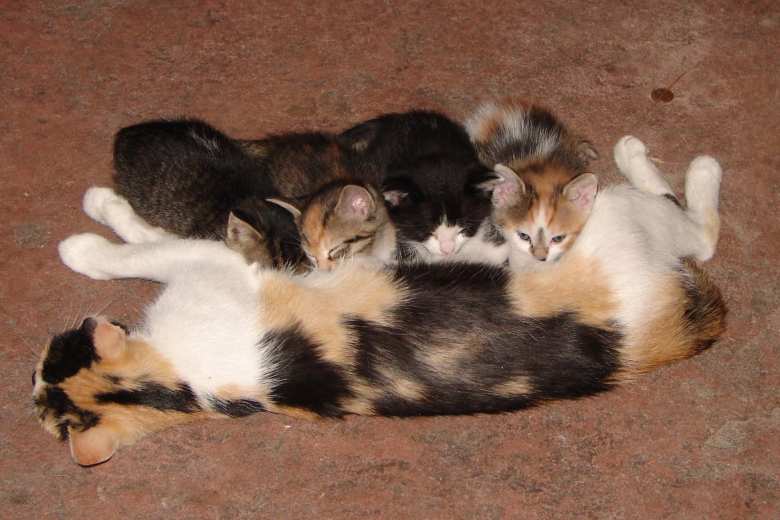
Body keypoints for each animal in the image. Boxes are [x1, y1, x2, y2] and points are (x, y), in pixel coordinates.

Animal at [30, 136, 724, 466]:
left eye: (44, 362)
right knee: (699, 236)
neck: (177, 381)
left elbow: (146, 244)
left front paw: (90, 231)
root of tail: (662, 332)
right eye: (39, 380)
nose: (27, 379)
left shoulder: (216, 263)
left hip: (600, 222)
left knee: (699, 229)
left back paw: (683, 164)